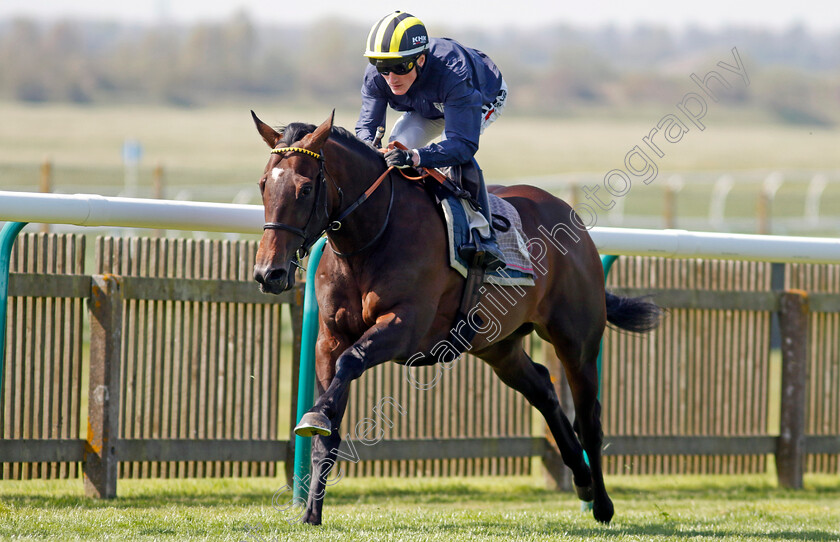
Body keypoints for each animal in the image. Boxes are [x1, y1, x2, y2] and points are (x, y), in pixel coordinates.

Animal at [253, 109, 660, 528]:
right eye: (264, 185)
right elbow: (329, 422)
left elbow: (351, 362)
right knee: (544, 391)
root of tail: (570, 216)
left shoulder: (403, 326)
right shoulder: (330, 337)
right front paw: (311, 512)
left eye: (304, 189)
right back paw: (581, 480)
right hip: (498, 347)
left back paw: (602, 504)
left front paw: (317, 416)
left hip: (576, 341)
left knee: (590, 418)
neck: (372, 235)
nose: (269, 273)